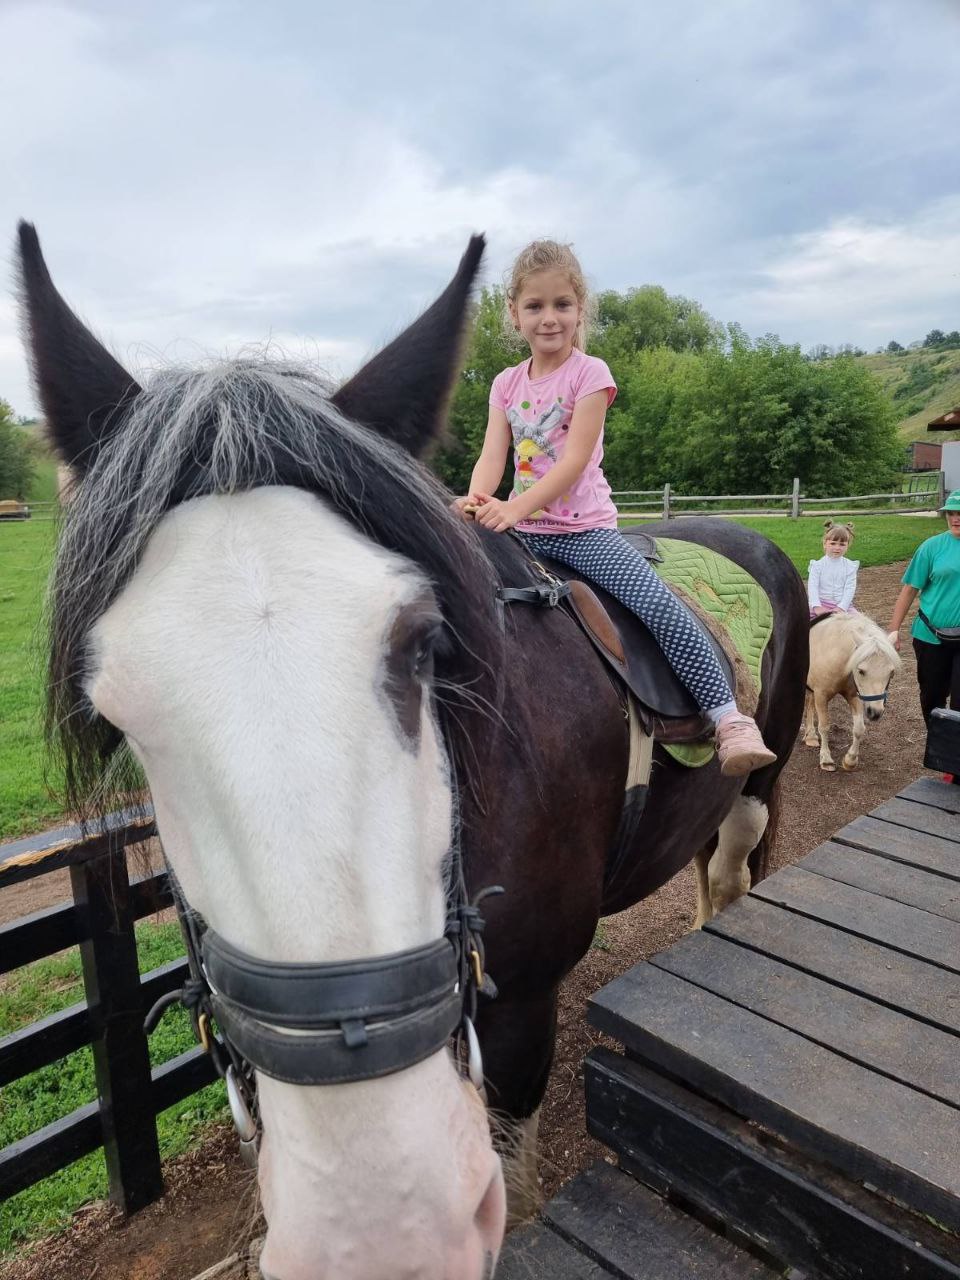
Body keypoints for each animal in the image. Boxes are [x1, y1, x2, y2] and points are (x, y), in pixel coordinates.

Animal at [18, 225, 808, 1280]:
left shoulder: (519, 1010)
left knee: (738, 861)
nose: (376, 1234)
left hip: (765, 775)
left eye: (427, 644)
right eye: (116, 711)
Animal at [808, 609, 906, 768]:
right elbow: (824, 726)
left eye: (891, 673)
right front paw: (826, 758)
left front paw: (850, 760)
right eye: (861, 671)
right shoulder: (821, 695)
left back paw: (810, 736)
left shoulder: (856, 696)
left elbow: (859, 728)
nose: (875, 713)